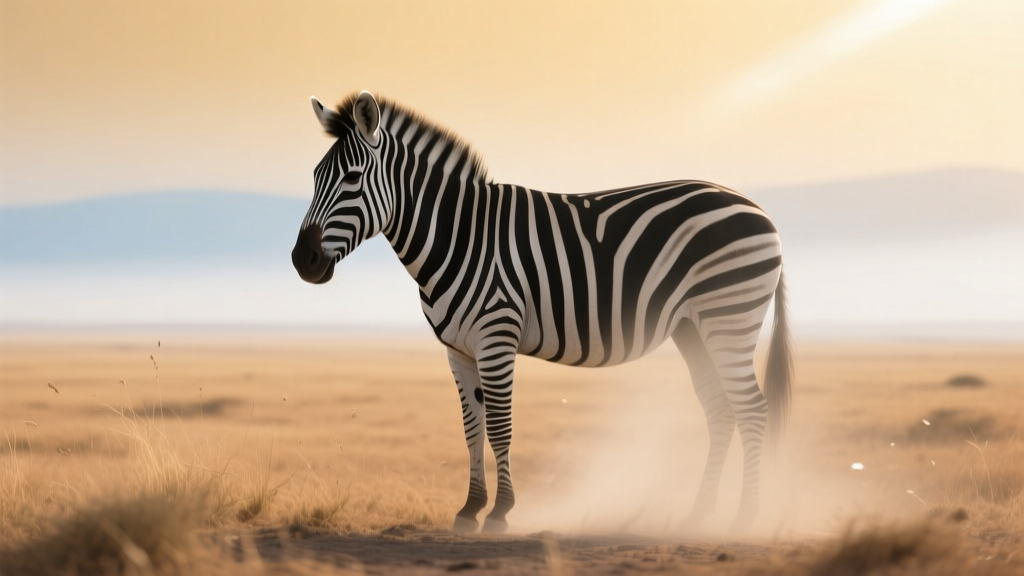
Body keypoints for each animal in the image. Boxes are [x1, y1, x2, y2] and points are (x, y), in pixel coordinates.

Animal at [292, 91, 792, 534]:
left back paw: (745, 518)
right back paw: (700, 513)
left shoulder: (496, 337)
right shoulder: (457, 349)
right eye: (315, 176)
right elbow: (472, 428)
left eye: (353, 178)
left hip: (729, 318)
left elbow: (500, 427)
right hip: (692, 328)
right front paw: (469, 509)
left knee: (752, 410)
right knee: (720, 410)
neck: (459, 237)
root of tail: (760, 210)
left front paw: (500, 513)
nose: (303, 260)